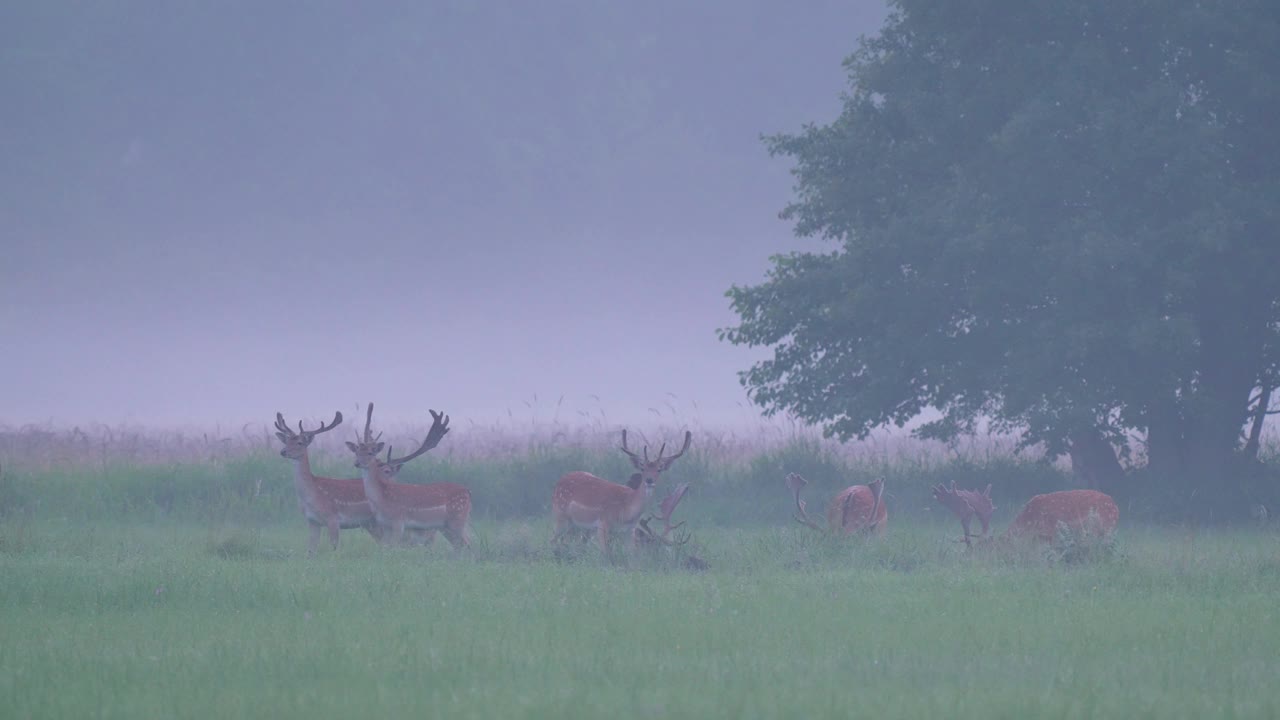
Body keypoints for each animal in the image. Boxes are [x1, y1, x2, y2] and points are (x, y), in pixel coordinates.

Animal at [345, 399, 476, 545]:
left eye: (370, 453)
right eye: (357, 452)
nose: (357, 463)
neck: (382, 502)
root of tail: (468, 492)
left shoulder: (399, 521)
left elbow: (394, 546)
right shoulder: (385, 526)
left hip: (457, 520)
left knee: (468, 543)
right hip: (447, 526)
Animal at [547, 427, 691, 550]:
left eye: (659, 469)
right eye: (642, 468)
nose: (649, 480)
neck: (627, 510)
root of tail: (559, 482)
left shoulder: (630, 529)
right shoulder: (603, 523)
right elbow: (606, 554)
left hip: (575, 525)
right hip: (560, 516)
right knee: (552, 540)